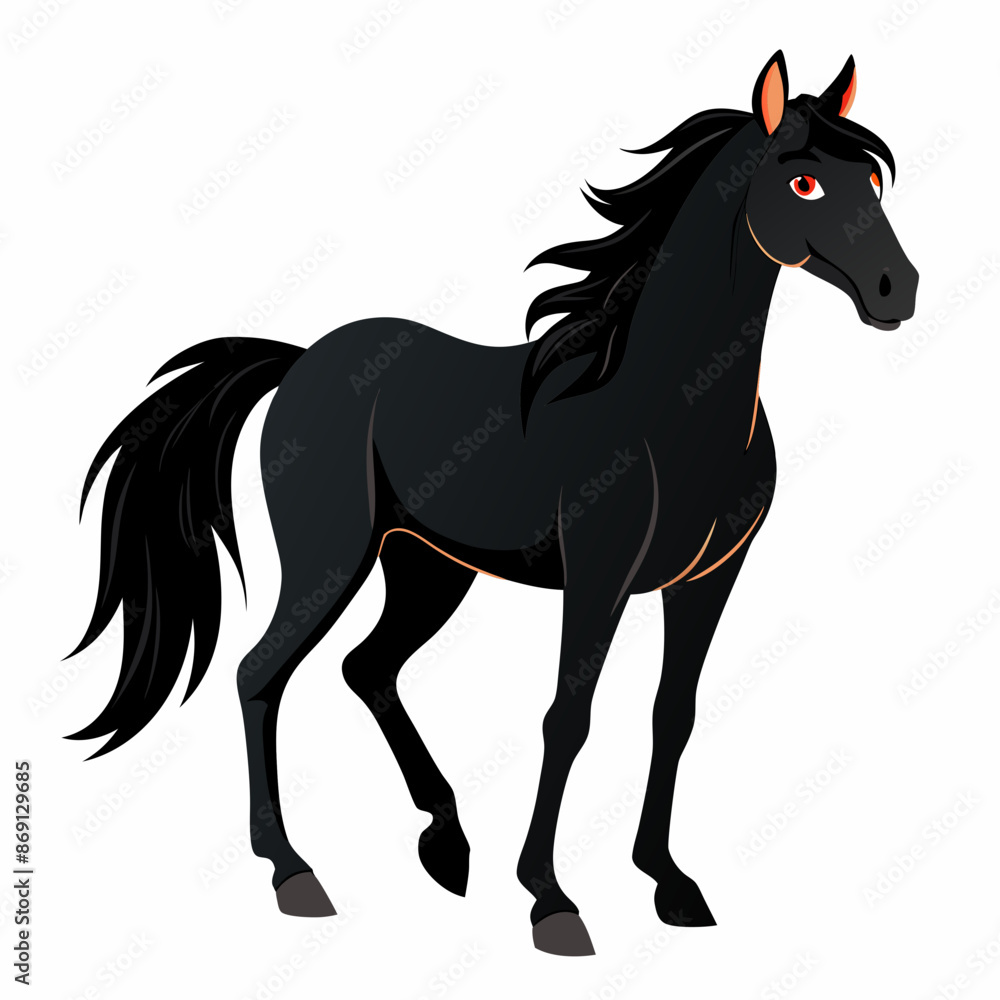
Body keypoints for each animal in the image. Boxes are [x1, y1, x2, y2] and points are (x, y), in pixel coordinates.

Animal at [67, 51, 918, 956]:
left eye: (871, 177)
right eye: (803, 183)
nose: (897, 290)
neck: (674, 405)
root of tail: (297, 362)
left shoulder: (707, 580)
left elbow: (673, 715)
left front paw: (670, 883)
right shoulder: (600, 577)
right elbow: (568, 718)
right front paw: (551, 900)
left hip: (428, 568)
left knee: (367, 668)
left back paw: (446, 841)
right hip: (333, 559)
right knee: (261, 674)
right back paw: (294, 873)